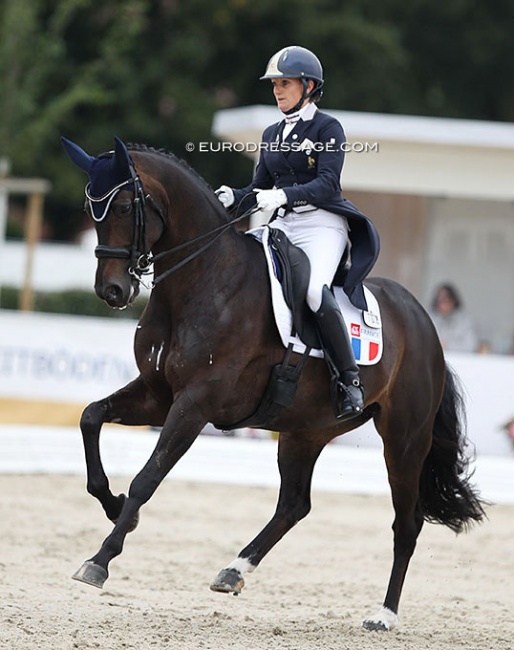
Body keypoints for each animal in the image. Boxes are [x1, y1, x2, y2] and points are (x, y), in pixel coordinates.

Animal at [61, 137, 484, 628]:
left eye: (128, 206)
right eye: (90, 211)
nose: (112, 291)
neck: (202, 280)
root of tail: (423, 321)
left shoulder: (194, 405)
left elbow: (148, 477)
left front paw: (101, 558)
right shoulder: (157, 396)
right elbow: (91, 418)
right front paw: (113, 506)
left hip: (404, 438)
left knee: (406, 522)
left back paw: (384, 614)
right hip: (306, 429)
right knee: (294, 504)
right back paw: (233, 571)